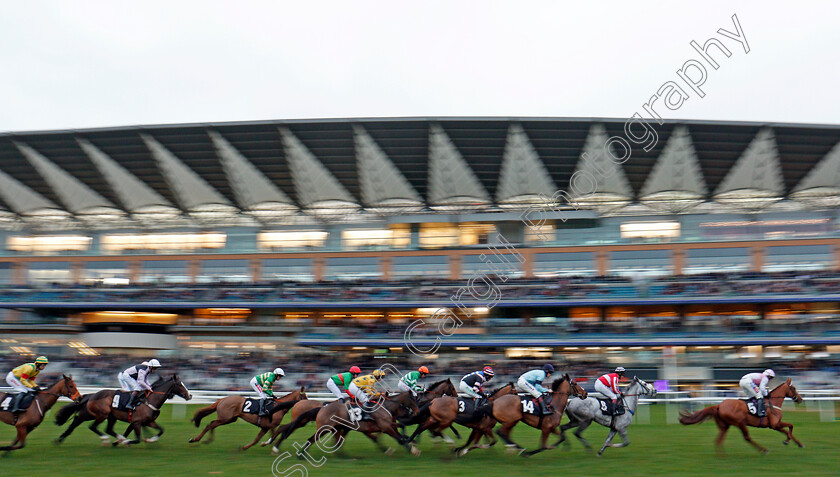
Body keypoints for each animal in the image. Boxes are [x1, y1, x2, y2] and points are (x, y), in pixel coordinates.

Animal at [56, 374, 191, 444]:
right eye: (180, 385)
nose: (190, 395)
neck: (149, 400)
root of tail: (91, 395)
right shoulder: (137, 422)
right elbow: (137, 439)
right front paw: (125, 441)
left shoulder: (147, 421)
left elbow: (161, 430)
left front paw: (150, 439)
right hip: (101, 414)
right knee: (92, 426)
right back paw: (106, 439)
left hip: (100, 415)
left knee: (79, 423)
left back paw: (60, 438)